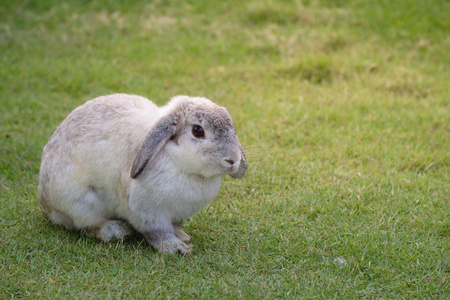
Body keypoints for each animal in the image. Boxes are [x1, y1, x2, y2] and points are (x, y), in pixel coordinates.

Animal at [38, 94, 248, 253]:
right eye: (198, 130)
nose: (232, 160)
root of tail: (46, 202)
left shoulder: (177, 214)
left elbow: (176, 226)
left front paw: (183, 236)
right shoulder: (149, 214)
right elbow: (158, 232)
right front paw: (176, 247)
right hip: (81, 205)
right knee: (87, 227)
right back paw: (117, 230)